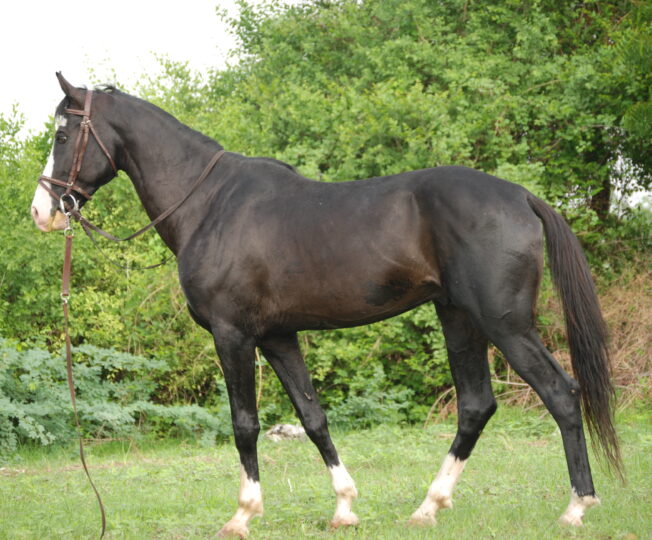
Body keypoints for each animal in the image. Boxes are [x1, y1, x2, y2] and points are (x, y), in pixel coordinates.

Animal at [31, 73, 621, 538]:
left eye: (62, 133)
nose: (43, 211)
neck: (210, 204)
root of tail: (520, 196)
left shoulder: (232, 335)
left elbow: (244, 423)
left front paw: (242, 515)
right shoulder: (277, 337)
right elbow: (313, 417)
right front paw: (344, 508)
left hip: (505, 324)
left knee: (561, 395)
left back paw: (577, 508)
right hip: (459, 318)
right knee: (476, 405)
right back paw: (427, 508)